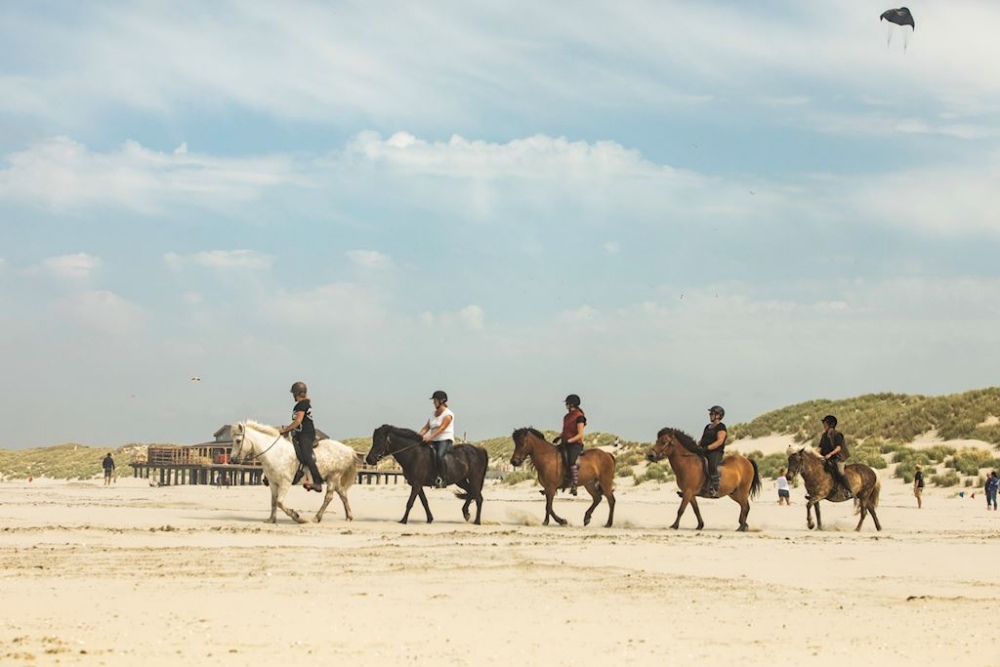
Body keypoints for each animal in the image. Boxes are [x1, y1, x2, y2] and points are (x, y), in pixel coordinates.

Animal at [229, 422, 360, 528]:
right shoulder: (273, 483)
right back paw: (349, 516)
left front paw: (297, 517)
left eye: (238, 441)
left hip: (334, 477)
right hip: (334, 478)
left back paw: (316, 517)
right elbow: (273, 501)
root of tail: (348, 449)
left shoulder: (285, 482)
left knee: (329, 497)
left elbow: (279, 502)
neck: (276, 453)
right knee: (343, 494)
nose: (232, 459)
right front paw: (271, 519)